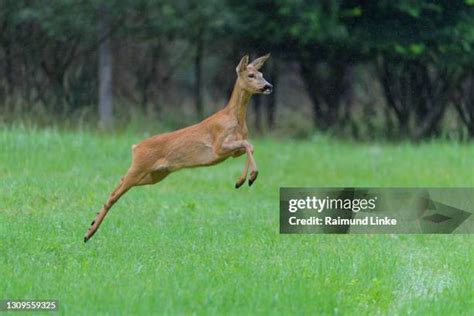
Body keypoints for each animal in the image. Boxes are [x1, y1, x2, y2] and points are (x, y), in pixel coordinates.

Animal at [83, 54, 272, 242]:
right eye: (251, 75)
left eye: (262, 74)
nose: (268, 86)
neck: (236, 120)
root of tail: (135, 147)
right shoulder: (218, 146)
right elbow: (248, 144)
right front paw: (251, 177)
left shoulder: (233, 152)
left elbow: (249, 146)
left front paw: (242, 180)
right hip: (140, 167)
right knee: (114, 195)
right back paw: (89, 233)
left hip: (156, 175)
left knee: (120, 183)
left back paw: (92, 223)